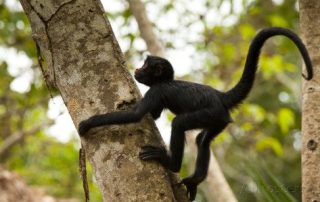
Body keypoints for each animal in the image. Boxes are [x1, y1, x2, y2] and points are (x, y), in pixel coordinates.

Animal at [78, 27, 312, 201]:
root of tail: (220, 96)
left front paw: (87, 124)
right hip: (220, 120)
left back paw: (171, 163)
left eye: (145, 65)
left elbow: (136, 115)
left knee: (180, 123)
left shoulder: (157, 91)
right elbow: (154, 116)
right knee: (202, 141)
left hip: (211, 113)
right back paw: (195, 180)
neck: (166, 81)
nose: (137, 69)